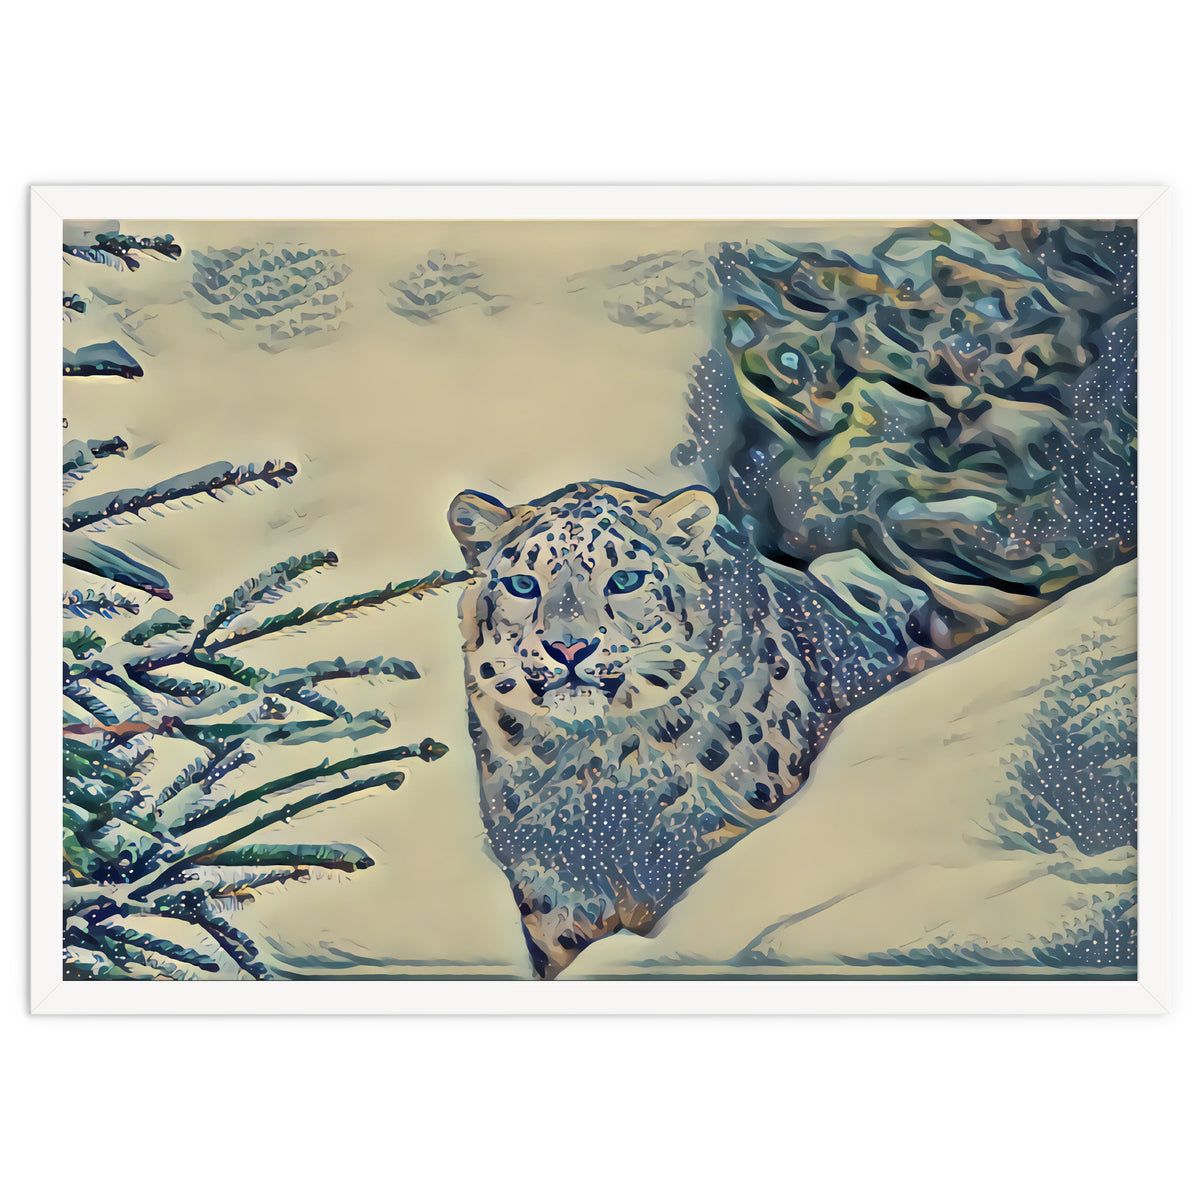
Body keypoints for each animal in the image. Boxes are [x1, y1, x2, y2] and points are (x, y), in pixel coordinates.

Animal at [448, 480, 934, 978]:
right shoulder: (549, 875)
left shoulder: (702, 838)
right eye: (522, 585)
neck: (598, 779)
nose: (569, 647)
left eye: (625, 580)